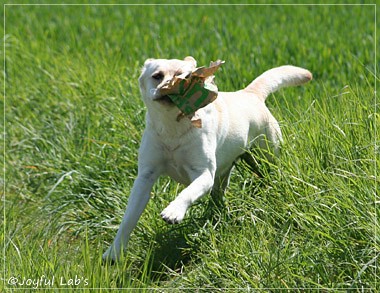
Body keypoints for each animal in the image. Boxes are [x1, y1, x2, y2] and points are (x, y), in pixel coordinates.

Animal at [102, 56, 310, 260]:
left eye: (184, 76)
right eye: (157, 76)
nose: (168, 86)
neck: (172, 127)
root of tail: (250, 94)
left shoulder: (203, 174)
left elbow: (187, 192)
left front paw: (173, 212)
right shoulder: (145, 177)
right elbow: (129, 218)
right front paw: (114, 252)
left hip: (266, 157)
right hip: (223, 176)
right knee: (218, 195)